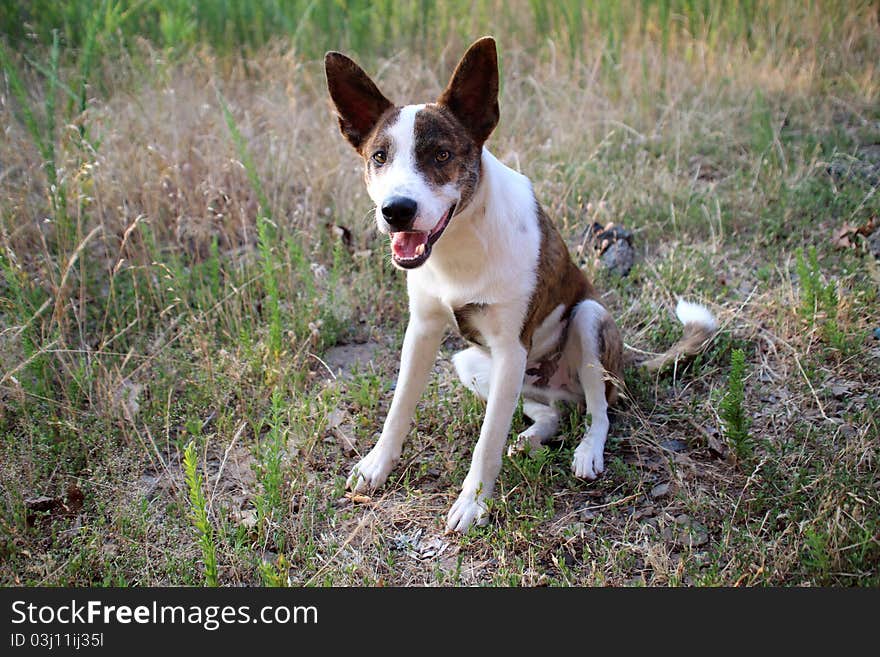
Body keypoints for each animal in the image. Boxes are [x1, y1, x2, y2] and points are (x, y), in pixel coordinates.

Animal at [324, 36, 716, 532]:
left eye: (441, 155)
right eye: (380, 156)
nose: (397, 210)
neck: (460, 242)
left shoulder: (512, 347)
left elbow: (487, 441)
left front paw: (473, 504)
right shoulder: (424, 331)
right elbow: (399, 409)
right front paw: (376, 466)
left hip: (589, 324)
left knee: (600, 410)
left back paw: (587, 451)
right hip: (477, 366)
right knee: (551, 412)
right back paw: (532, 437)